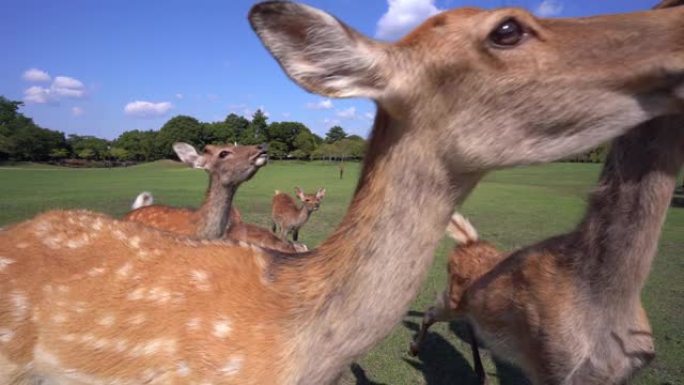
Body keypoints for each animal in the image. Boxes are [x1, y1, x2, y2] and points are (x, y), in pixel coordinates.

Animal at [412, 118, 684, 384]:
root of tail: (469, 241)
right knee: (430, 312)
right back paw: (415, 349)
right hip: (452, 299)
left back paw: (479, 371)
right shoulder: (547, 364)